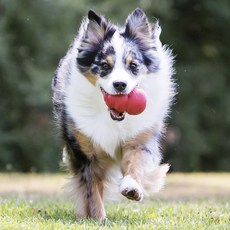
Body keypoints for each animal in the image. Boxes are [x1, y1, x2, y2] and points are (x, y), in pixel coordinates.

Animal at [51, 8, 174, 220]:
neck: (111, 117)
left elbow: (135, 163)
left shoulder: (139, 140)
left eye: (133, 65)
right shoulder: (87, 153)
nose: (120, 85)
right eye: (104, 66)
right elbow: (92, 189)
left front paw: (132, 188)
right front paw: (99, 218)